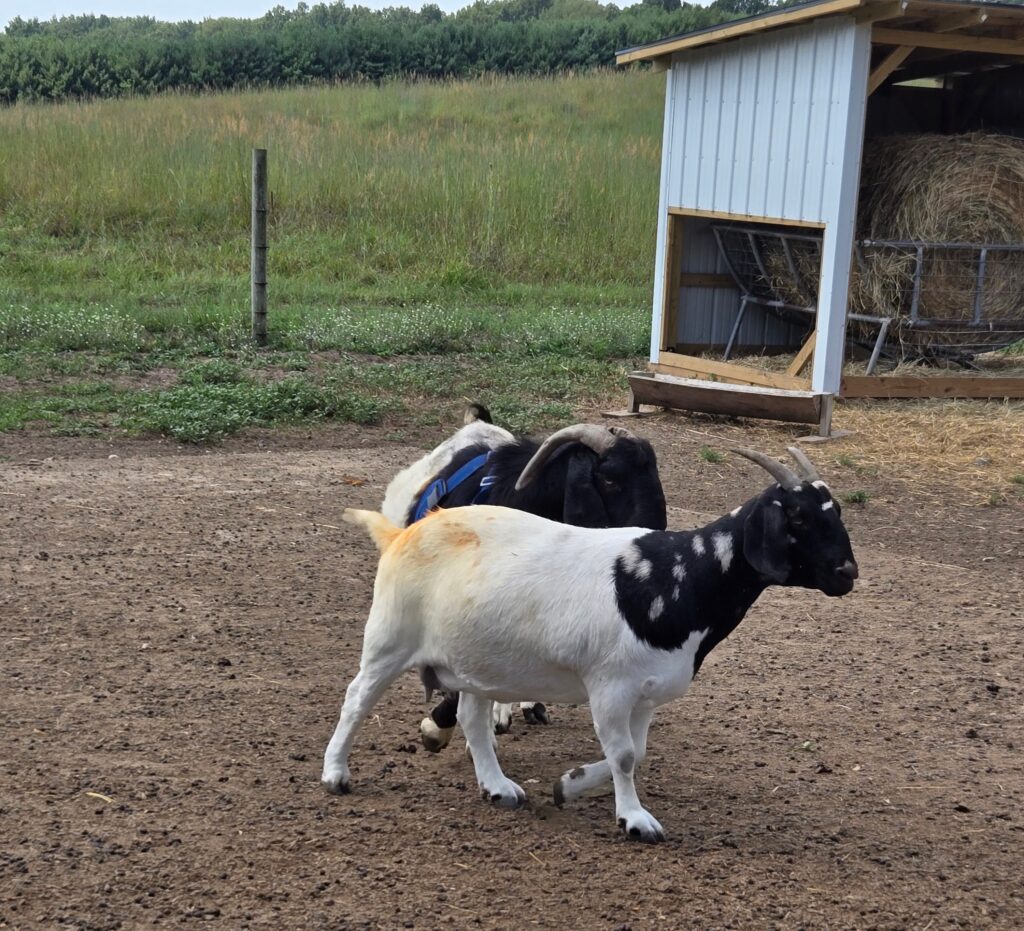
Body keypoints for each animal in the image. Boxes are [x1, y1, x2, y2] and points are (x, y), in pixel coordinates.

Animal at [322, 447, 858, 843]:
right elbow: (624, 757)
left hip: (477, 659)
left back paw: (498, 787)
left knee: (473, 719)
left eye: (833, 513)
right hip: (390, 638)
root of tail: (402, 532)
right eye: (798, 518)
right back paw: (336, 774)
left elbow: (636, 751)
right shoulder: (610, 686)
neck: (675, 577)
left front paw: (568, 785)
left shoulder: (645, 694)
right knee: (356, 698)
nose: (847, 573)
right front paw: (635, 820)